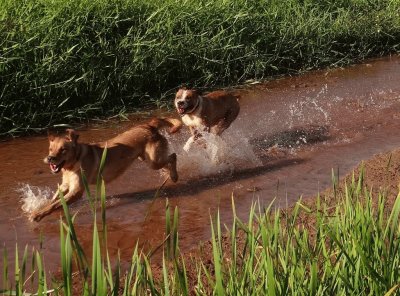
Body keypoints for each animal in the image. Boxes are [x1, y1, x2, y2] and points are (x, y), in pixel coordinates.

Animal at [31, 117, 181, 221]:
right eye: (51, 149)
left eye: (63, 150)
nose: (50, 158)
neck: (72, 164)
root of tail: (149, 125)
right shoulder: (65, 186)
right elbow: (54, 201)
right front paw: (41, 207)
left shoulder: (77, 191)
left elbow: (54, 205)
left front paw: (37, 215)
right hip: (147, 160)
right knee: (169, 160)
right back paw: (169, 175)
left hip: (153, 161)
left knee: (173, 156)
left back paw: (174, 176)